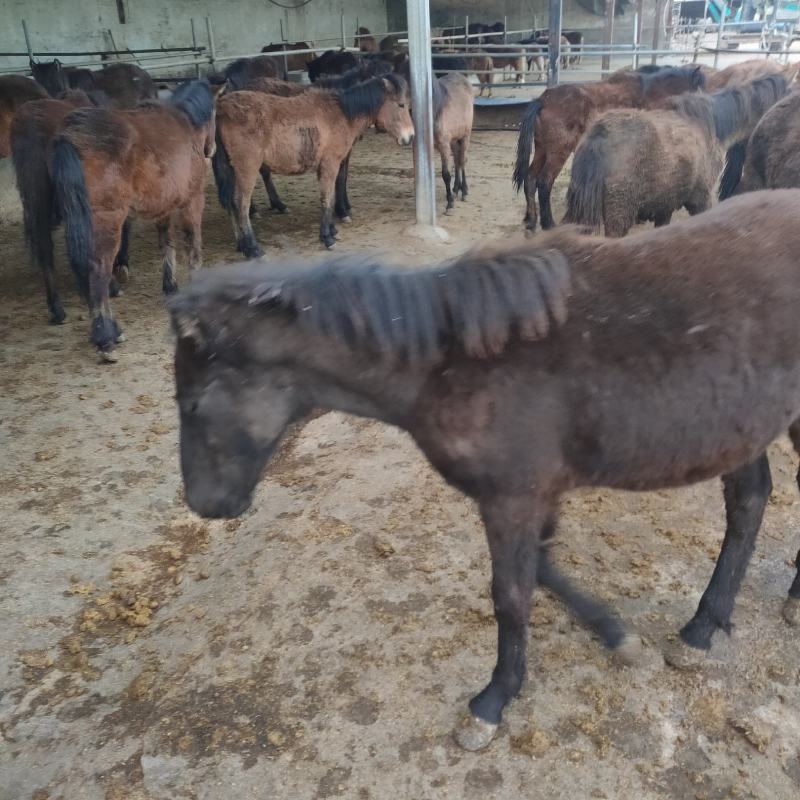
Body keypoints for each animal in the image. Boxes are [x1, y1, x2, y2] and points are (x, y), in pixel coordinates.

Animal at [50, 80, 221, 360]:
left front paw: (170, 288)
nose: (212, 149)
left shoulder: (164, 207)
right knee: (98, 270)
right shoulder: (193, 200)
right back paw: (106, 338)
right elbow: (193, 245)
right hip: (107, 221)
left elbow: (166, 244)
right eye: (216, 112)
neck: (186, 123)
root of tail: (70, 135)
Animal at [169, 189, 800, 752]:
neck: (451, 361)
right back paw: (704, 627)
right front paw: (618, 636)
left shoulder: (511, 499)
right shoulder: (534, 494)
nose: (205, 504)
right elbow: (543, 569)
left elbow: (511, 596)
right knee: (749, 502)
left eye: (194, 403)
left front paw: (493, 701)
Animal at [211, 74, 413, 255]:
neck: (342, 114)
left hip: (231, 170)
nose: (410, 137)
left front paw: (333, 230)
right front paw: (327, 237)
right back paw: (253, 248)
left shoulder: (327, 166)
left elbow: (330, 197)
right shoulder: (331, 164)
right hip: (247, 168)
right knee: (241, 204)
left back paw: (241, 245)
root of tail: (220, 109)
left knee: (231, 203)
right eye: (401, 105)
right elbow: (327, 198)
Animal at [433, 74, 473, 212]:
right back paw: (456, 188)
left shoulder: (443, 145)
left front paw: (450, 203)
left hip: (465, 136)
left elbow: (445, 174)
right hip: (454, 140)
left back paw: (464, 190)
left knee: (462, 160)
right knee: (457, 160)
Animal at [513, 64, 706, 232]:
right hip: (558, 152)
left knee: (530, 178)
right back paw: (548, 224)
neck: (653, 92)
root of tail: (544, 100)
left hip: (542, 150)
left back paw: (531, 221)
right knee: (544, 182)